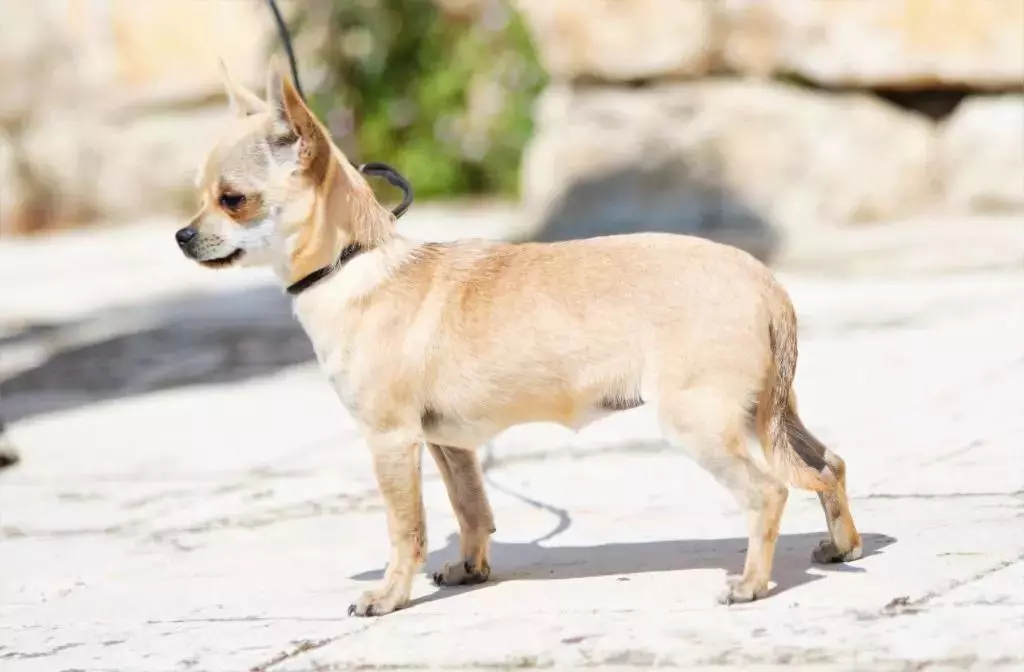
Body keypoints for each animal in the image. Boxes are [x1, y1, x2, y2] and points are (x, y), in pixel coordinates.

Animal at [178, 60, 864, 618]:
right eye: (199, 198)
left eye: (233, 200)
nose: (183, 235)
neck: (356, 262)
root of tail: (765, 283)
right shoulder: (448, 445)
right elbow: (471, 510)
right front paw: (471, 569)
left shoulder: (391, 441)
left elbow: (406, 527)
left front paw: (389, 596)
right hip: (767, 413)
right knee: (826, 464)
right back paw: (842, 546)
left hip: (701, 422)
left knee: (768, 491)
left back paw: (751, 583)